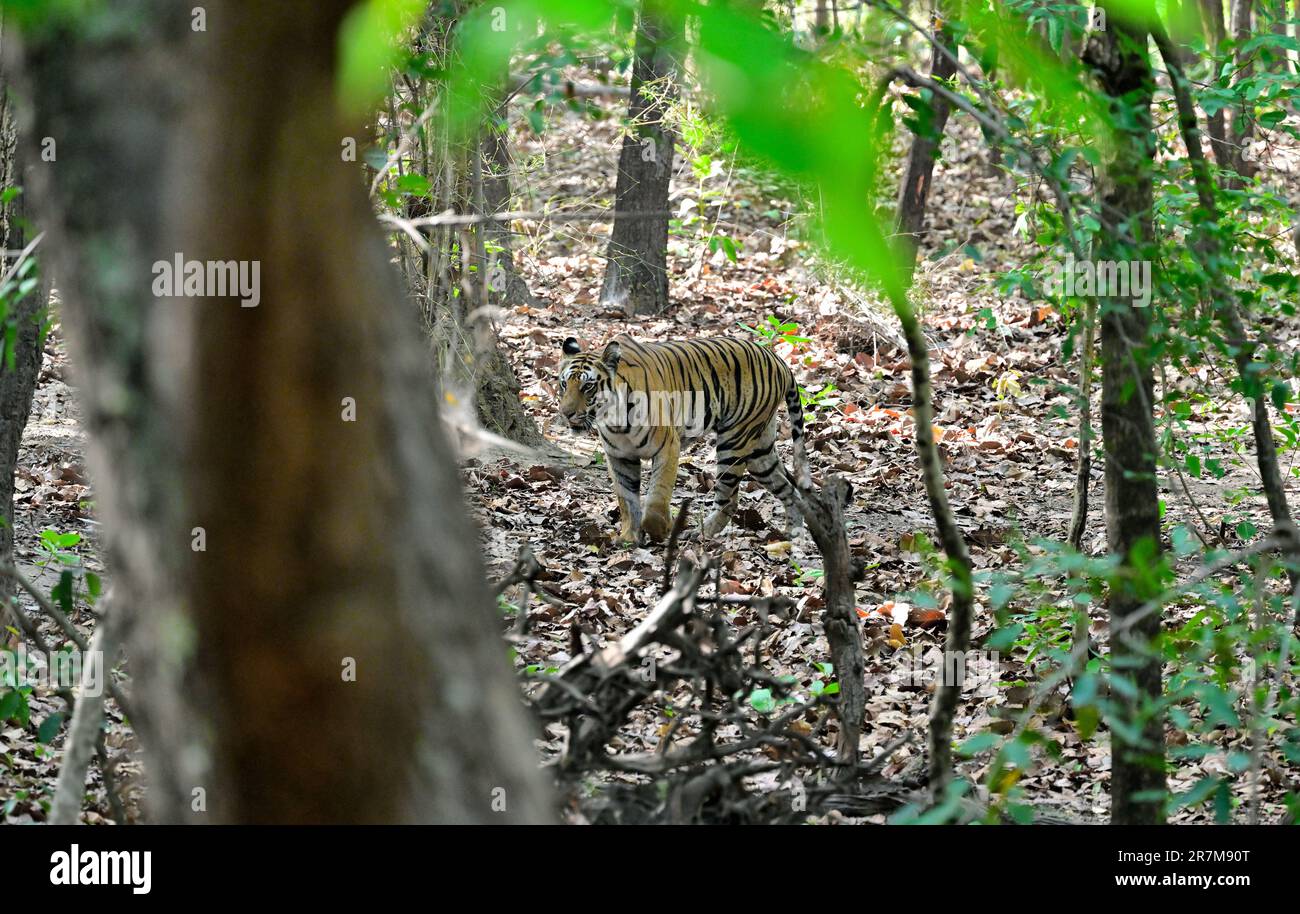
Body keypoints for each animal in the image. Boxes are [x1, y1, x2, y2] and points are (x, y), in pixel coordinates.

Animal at [557, 335, 811, 543]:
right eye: (563, 384)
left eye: (588, 386)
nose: (565, 413)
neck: (614, 419)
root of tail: (778, 360)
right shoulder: (619, 456)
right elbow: (626, 499)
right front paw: (629, 537)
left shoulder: (668, 447)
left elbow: (657, 496)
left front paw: (662, 529)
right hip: (759, 452)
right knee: (789, 488)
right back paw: (793, 533)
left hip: (734, 441)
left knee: (729, 499)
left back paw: (701, 533)